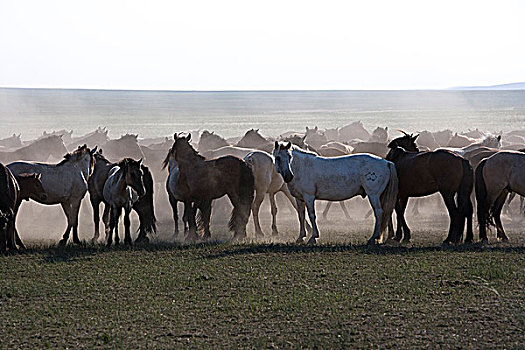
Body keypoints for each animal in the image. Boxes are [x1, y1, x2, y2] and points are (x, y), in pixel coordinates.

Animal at [270, 141, 398, 245]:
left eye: (289, 156)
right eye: (278, 157)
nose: (288, 176)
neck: (302, 167)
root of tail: (386, 162)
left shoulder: (309, 197)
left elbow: (312, 215)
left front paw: (313, 237)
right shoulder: (300, 199)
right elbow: (301, 216)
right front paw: (301, 237)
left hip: (373, 195)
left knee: (379, 212)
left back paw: (373, 237)